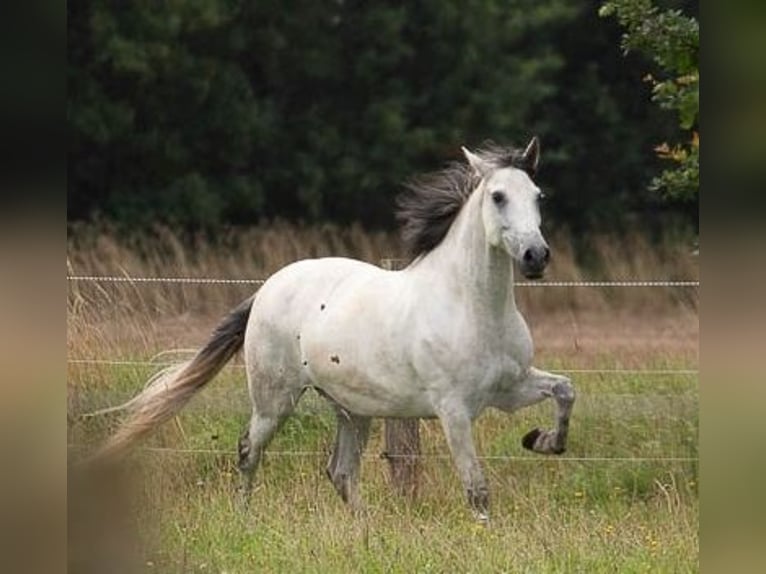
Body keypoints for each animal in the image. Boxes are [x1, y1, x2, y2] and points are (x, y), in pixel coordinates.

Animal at [97, 137, 575, 522]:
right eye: (498, 196)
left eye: (538, 196)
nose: (536, 256)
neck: (472, 307)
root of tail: (267, 288)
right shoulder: (454, 409)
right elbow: (476, 488)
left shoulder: (509, 389)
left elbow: (565, 390)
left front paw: (542, 440)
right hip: (275, 399)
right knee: (250, 450)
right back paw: (242, 518)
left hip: (353, 409)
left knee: (341, 472)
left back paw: (369, 531)